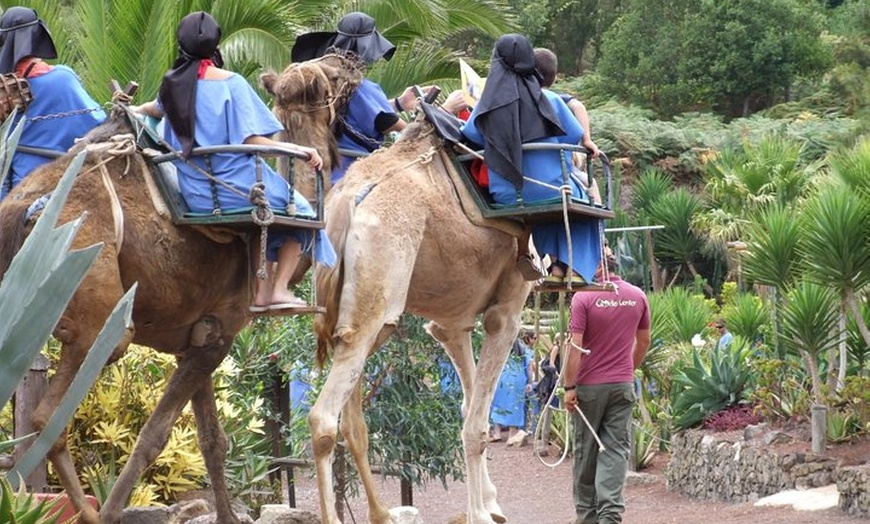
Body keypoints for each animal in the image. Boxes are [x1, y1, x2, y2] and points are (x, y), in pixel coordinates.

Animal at [0, 107, 292, 524]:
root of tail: (21, 210)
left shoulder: (198, 339)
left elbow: (212, 441)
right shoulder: (220, 335)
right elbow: (155, 437)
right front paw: (111, 513)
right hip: (100, 324)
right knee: (47, 418)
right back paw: (88, 515)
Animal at [262, 57, 536, 524]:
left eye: (294, 111)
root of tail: (343, 206)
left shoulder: (451, 321)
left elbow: (467, 406)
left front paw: (490, 503)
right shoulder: (507, 307)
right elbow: (477, 421)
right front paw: (483, 512)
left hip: (364, 318)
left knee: (351, 420)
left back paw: (383, 512)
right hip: (376, 308)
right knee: (323, 419)